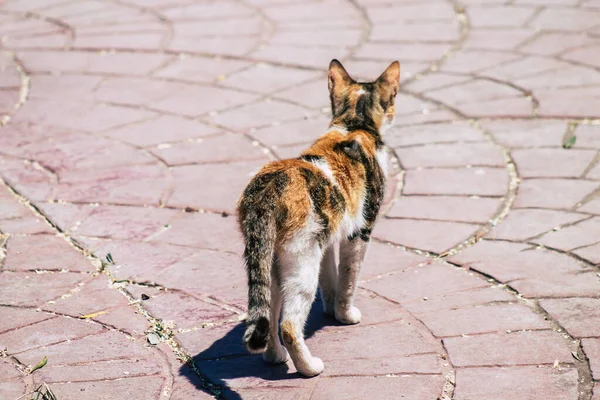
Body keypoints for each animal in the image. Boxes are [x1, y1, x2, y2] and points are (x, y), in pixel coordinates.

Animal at [237, 59, 400, 378]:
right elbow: (350, 277)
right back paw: (309, 367)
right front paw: (345, 314)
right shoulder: (359, 232)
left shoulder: (328, 238)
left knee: (270, 312)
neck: (353, 125)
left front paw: (330, 307)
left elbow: (331, 276)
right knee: (289, 324)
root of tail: (266, 190)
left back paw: (275, 357)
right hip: (300, 260)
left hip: (273, 260)